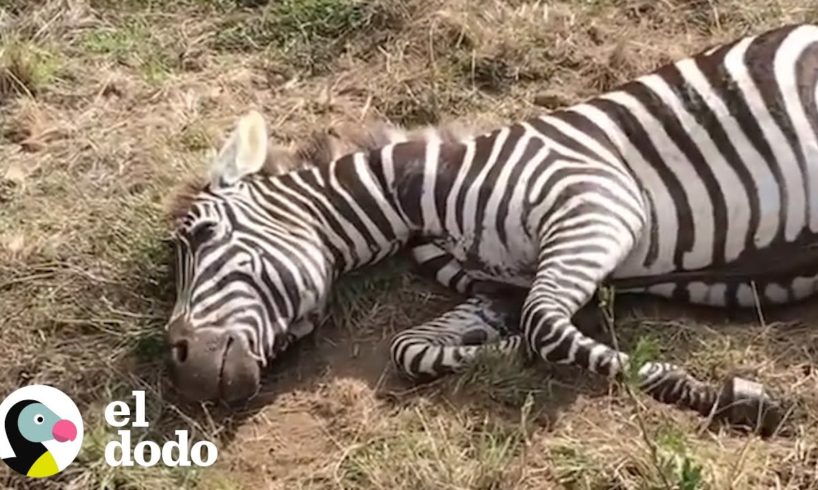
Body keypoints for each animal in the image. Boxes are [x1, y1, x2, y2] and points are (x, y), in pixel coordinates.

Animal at [166, 23, 816, 436]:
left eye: (203, 236)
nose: (179, 365)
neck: (421, 195)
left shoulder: (597, 206)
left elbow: (545, 326)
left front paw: (723, 396)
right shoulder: (499, 288)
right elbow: (411, 347)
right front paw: (501, 350)